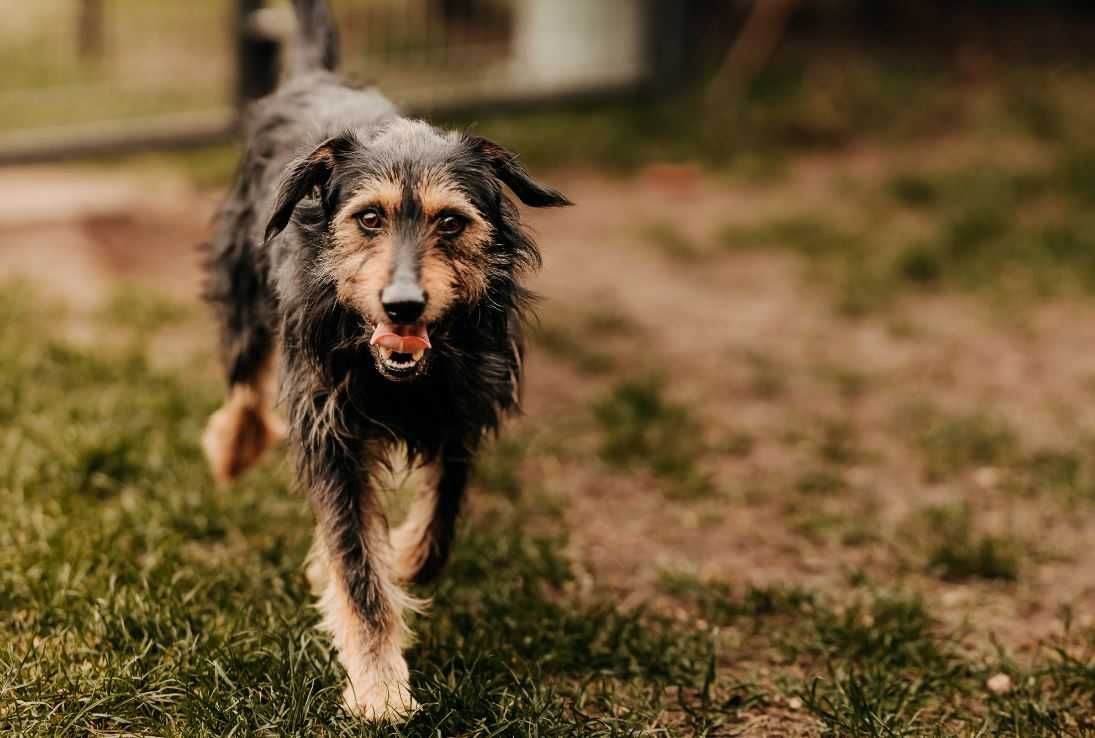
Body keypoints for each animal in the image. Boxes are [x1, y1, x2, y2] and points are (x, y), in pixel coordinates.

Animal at [200, 1, 569, 718]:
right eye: (369, 218)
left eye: (451, 222)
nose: (402, 306)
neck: (400, 377)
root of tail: (316, 75)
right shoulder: (330, 430)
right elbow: (355, 564)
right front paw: (378, 685)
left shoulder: (463, 412)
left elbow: (436, 525)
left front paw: (400, 556)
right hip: (243, 287)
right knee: (244, 384)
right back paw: (232, 447)